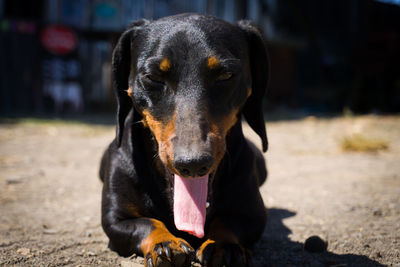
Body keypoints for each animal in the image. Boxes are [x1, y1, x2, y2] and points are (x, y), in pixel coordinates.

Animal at [99, 13, 268, 267]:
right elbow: (146, 223)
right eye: (153, 77)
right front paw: (164, 243)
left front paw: (224, 244)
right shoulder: (116, 219)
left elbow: (229, 222)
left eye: (226, 75)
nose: (193, 164)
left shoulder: (253, 215)